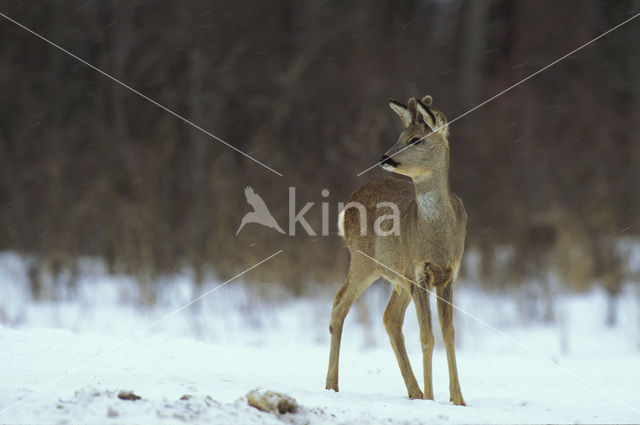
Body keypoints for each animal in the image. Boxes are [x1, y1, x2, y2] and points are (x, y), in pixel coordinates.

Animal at [328, 93, 468, 404]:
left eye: (416, 139)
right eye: (399, 136)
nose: (384, 157)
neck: (437, 235)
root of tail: (347, 206)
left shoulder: (449, 275)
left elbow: (449, 333)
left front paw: (458, 399)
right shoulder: (419, 272)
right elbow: (427, 336)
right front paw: (432, 398)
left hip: (397, 278)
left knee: (388, 317)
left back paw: (414, 391)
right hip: (363, 260)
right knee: (340, 306)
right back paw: (331, 385)